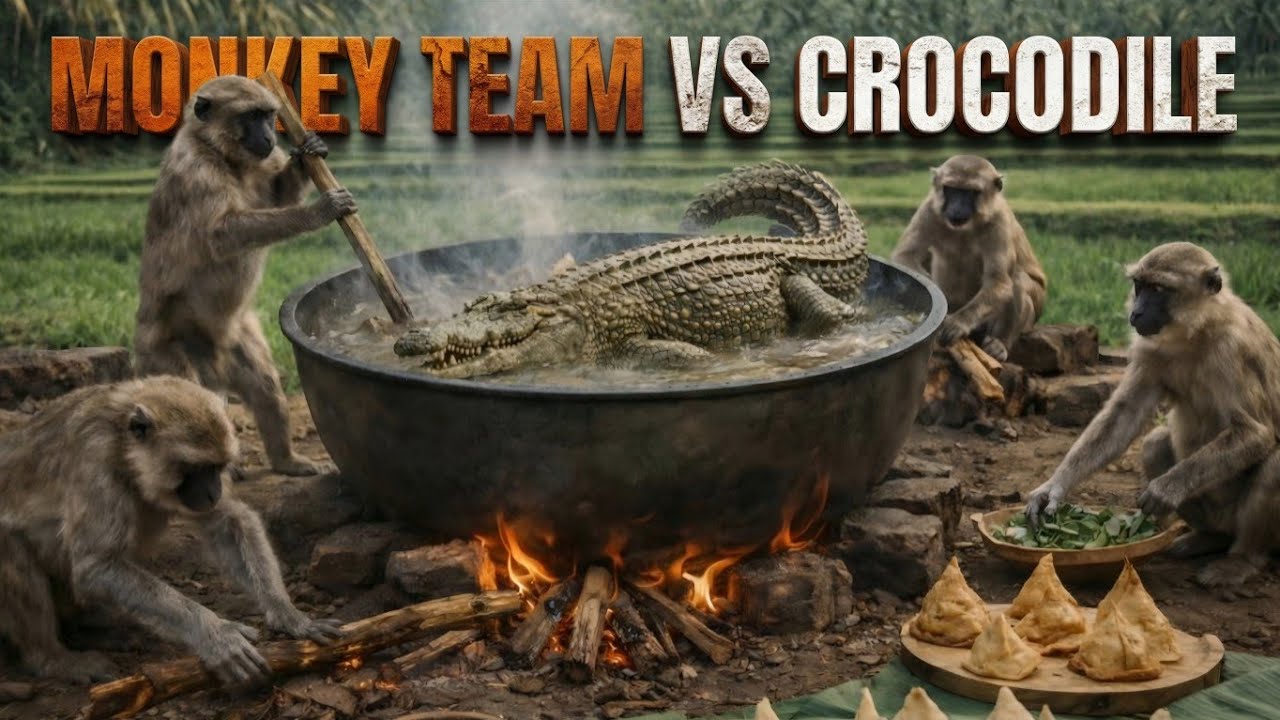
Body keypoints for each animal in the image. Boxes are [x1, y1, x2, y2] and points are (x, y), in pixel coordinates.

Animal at [0, 376, 341, 684]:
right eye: (197, 469)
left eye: (217, 468)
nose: (213, 492)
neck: (123, 446)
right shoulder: (95, 463)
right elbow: (96, 566)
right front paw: (215, 632)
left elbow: (229, 521)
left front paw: (286, 613)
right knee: (13, 547)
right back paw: (51, 658)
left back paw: (90, 629)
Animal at [135, 75, 357, 477]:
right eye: (251, 116)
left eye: (268, 115)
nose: (268, 135)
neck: (222, 155)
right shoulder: (196, 171)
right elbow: (222, 233)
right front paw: (319, 211)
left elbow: (277, 194)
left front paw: (309, 153)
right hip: (161, 349)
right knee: (183, 395)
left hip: (234, 340)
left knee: (264, 385)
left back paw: (286, 461)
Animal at [891, 155, 1047, 361]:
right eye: (951, 190)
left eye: (970, 193)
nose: (957, 208)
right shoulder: (929, 209)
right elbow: (905, 256)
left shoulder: (1000, 221)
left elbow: (999, 282)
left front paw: (958, 323)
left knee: (1018, 280)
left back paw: (1000, 343)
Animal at [1026, 242, 1280, 587]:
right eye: (1139, 286)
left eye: (1158, 289)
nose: (1136, 312)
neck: (1197, 331)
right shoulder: (1151, 348)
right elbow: (1124, 415)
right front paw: (1054, 487)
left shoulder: (1233, 348)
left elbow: (1256, 432)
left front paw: (1165, 489)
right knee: (1155, 444)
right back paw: (1209, 537)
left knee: (1274, 464)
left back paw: (1242, 559)